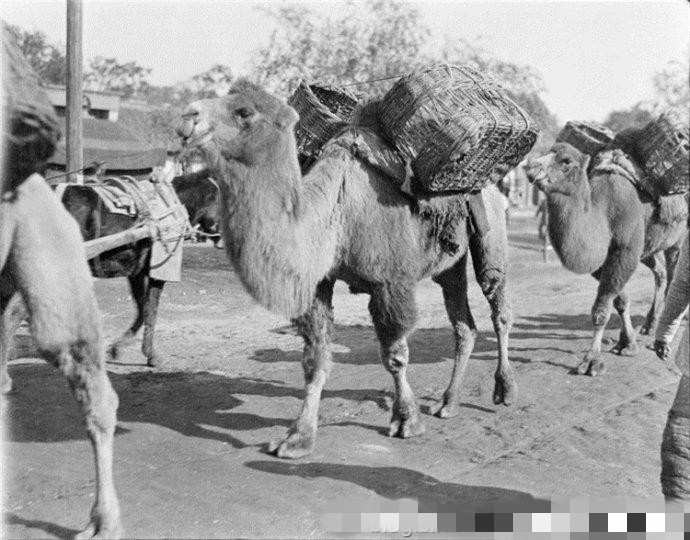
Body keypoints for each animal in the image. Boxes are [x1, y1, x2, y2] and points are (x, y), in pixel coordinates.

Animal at [177, 79, 516, 460]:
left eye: (244, 111)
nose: (188, 115)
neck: (336, 209)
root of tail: (494, 185)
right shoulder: (318, 281)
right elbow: (315, 361)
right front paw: (297, 437)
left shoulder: (389, 282)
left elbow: (395, 356)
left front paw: (406, 420)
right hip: (450, 261)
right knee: (463, 323)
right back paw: (448, 402)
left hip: (491, 234)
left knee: (498, 304)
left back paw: (504, 390)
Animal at [528, 142, 684, 376]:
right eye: (546, 152)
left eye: (566, 161)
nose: (531, 167)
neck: (603, 211)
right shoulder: (605, 261)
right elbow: (619, 301)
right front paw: (627, 344)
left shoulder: (624, 251)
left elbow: (601, 310)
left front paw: (591, 361)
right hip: (649, 247)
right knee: (661, 272)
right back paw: (649, 325)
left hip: (678, 239)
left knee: (674, 274)